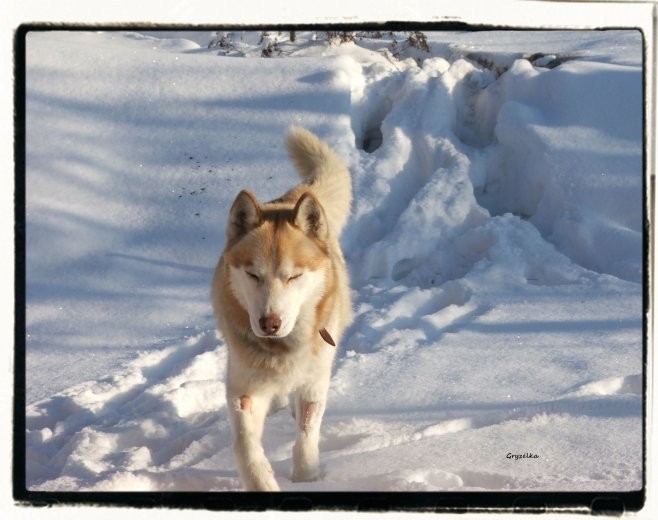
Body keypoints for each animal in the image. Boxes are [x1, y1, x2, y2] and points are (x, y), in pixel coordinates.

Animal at [211, 127, 354, 492]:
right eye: (253, 274)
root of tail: (295, 195)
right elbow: (245, 445)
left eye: (294, 276)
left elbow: (307, 433)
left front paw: (307, 479)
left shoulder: (315, 381)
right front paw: (262, 482)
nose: (269, 323)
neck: (282, 350)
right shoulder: (243, 388)